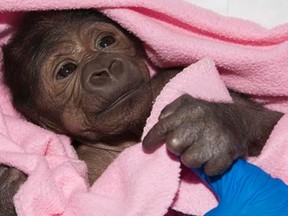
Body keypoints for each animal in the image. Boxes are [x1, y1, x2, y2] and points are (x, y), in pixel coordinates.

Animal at [0, 9, 284, 215]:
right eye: (66, 70)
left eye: (106, 42)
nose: (103, 68)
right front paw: (9, 184)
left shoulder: (170, 76)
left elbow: (278, 123)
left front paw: (212, 126)